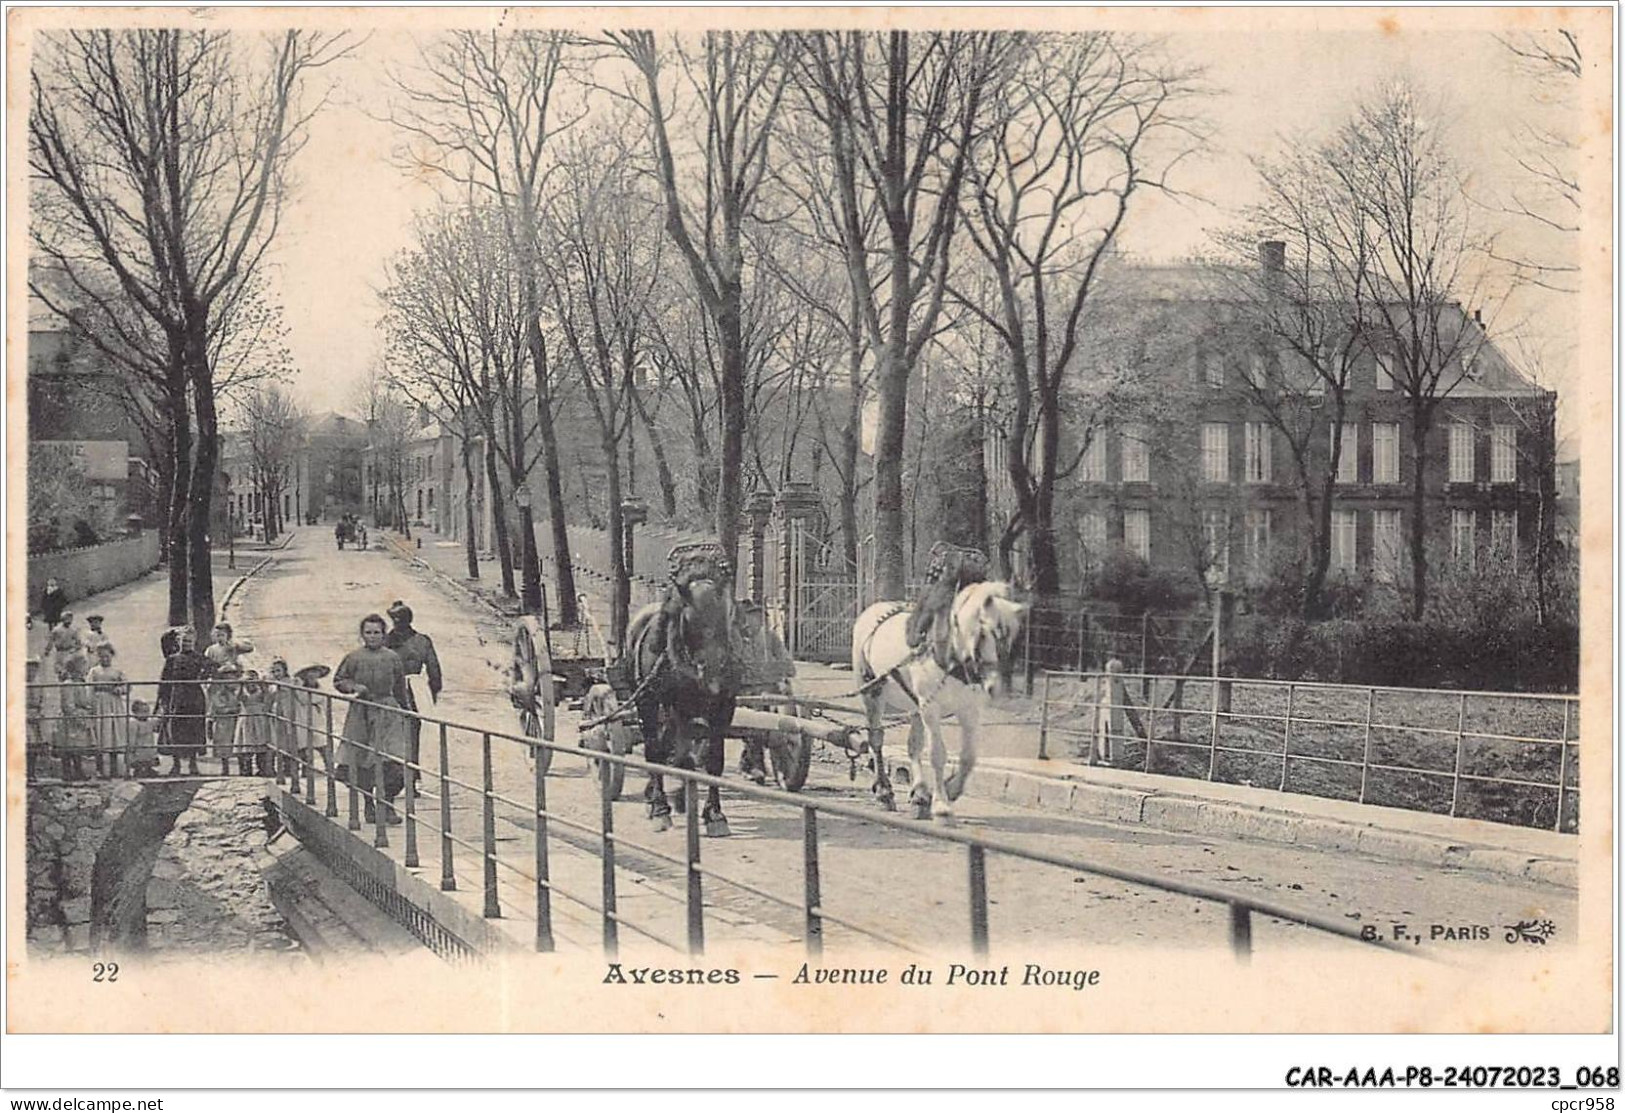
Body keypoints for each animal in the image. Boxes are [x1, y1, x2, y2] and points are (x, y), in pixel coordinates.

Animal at [620, 542, 744, 838]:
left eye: (725, 615)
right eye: (687, 619)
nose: (713, 673)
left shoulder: (724, 706)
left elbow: (713, 759)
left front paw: (714, 815)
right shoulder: (673, 704)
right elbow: (677, 756)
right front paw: (668, 804)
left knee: (668, 744)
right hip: (649, 700)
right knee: (657, 747)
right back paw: (658, 803)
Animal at [851, 578, 1027, 818]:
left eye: (1011, 637)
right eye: (983, 634)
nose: (994, 687)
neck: (949, 657)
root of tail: (872, 610)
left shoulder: (969, 711)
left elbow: (969, 757)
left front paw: (950, 789)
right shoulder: (931, 708)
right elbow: (937, 754)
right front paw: (941, 804)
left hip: (915, 705)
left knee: (913, 745)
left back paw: (919, 794)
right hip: (872, 692)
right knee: (876, 739)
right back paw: (885, 792)